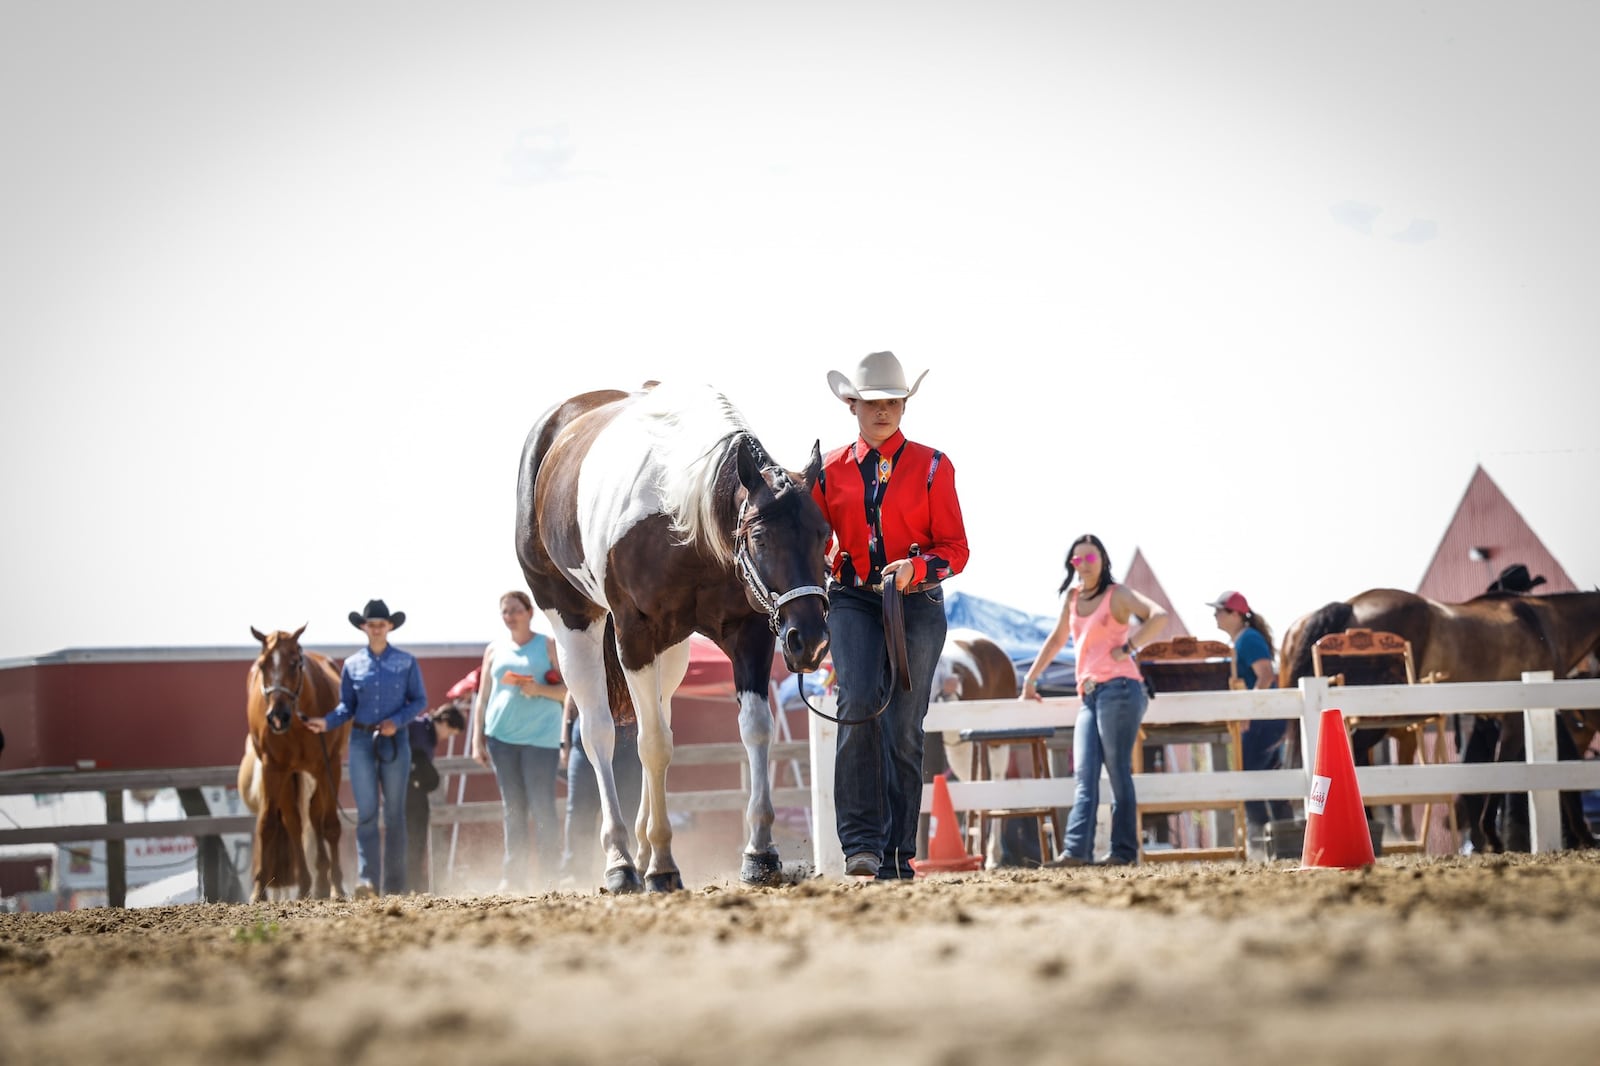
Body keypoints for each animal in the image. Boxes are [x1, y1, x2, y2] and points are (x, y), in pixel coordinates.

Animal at [518, 382, 832, 889]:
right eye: (761, 538)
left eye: (824, 533)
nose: (811, 640)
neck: (683, 519)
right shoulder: (634, 637)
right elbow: (652, 746)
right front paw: (663, 864)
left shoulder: (750, 634)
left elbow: (754, 730)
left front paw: (760, 853)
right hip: (573, 624)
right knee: (600, 734)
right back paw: (623, 861)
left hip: (675, 651)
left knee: (658, 719)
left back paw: (642, 850)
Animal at [1280, 589, 1600, 845]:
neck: (1541, 622)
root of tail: (1350, 605)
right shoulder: (1518, 717)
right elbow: (1507, 764)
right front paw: (1494, 836)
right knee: (1355, 753)